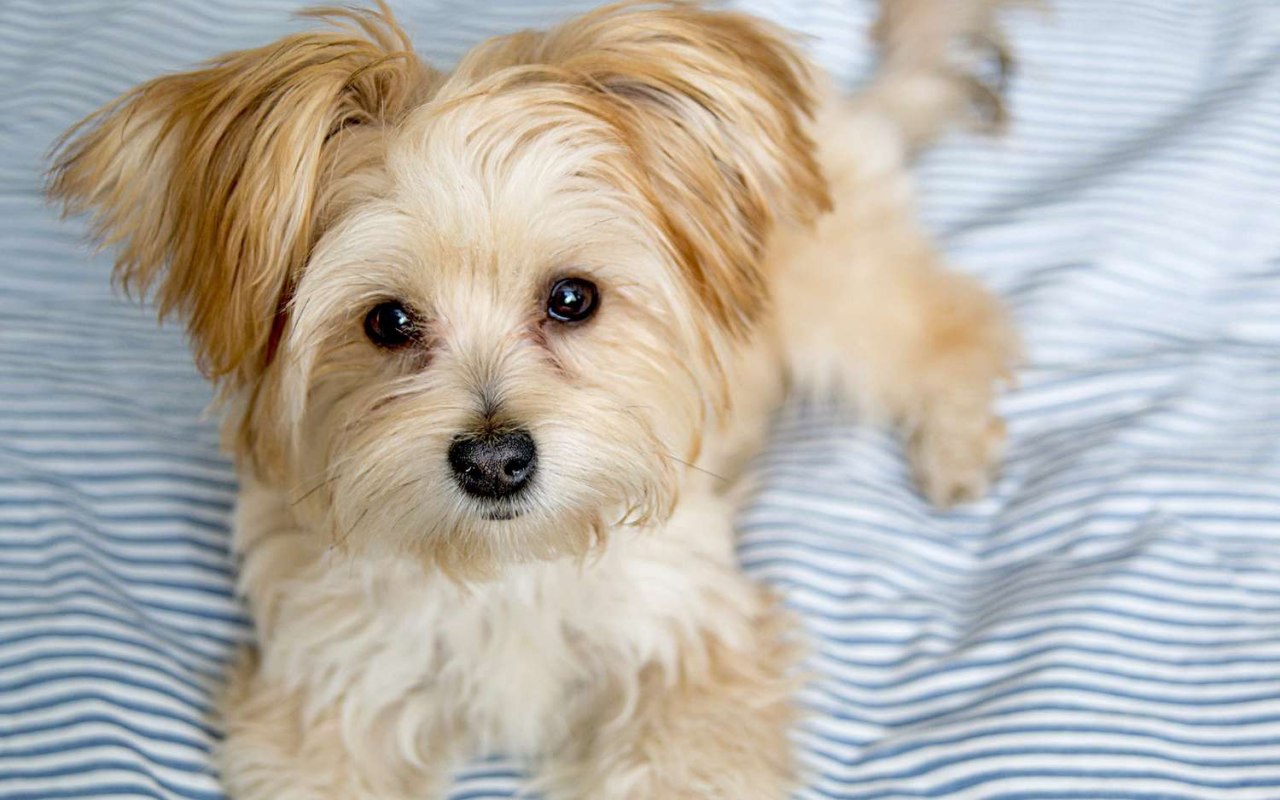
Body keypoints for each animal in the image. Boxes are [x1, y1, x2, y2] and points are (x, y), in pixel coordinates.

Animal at [49, 3, 1018, 793]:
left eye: (572, 299)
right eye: (388, 320)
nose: (494, 461)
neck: (504, 574)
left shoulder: (692, 662)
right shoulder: (325, 694)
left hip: (837, 301)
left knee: (957, 324)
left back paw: (956, 448)